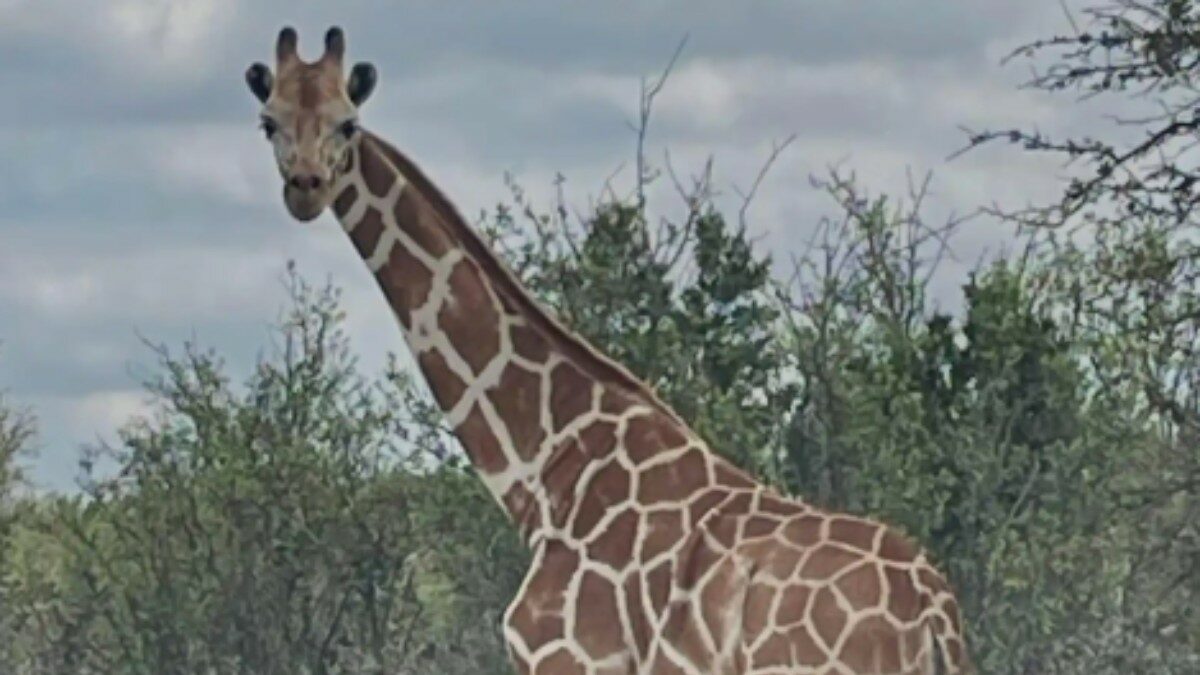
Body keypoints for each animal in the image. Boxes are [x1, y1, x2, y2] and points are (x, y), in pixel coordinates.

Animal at [244, 27, 972, 675]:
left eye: (347, 124)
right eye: (269, 122)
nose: (306, 187)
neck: (547, 469)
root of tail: (934, 614)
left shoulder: (567, 658)